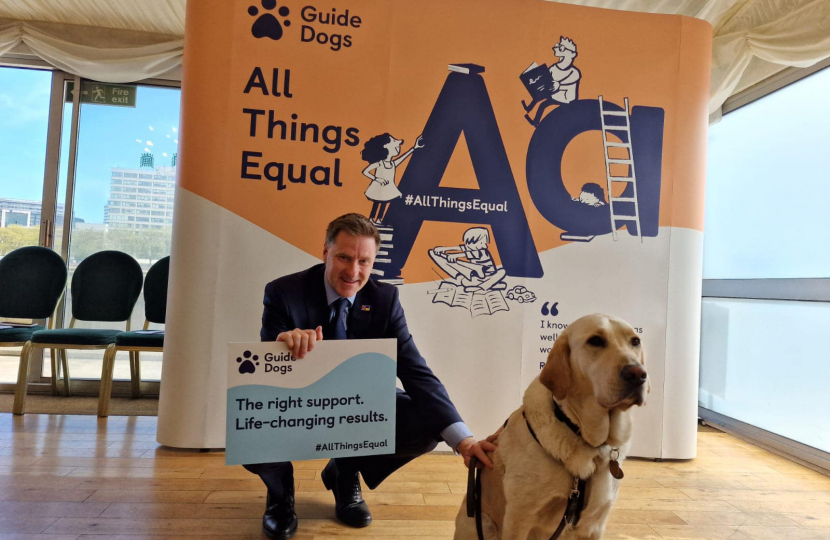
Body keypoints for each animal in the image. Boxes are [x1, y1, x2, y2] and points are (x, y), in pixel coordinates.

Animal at [456, 314, 648, 536]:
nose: (638, 374)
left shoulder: (594, 524)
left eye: (635, 341)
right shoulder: (519, 517)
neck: (582, 434)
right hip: (484, 524)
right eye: (595, 341)